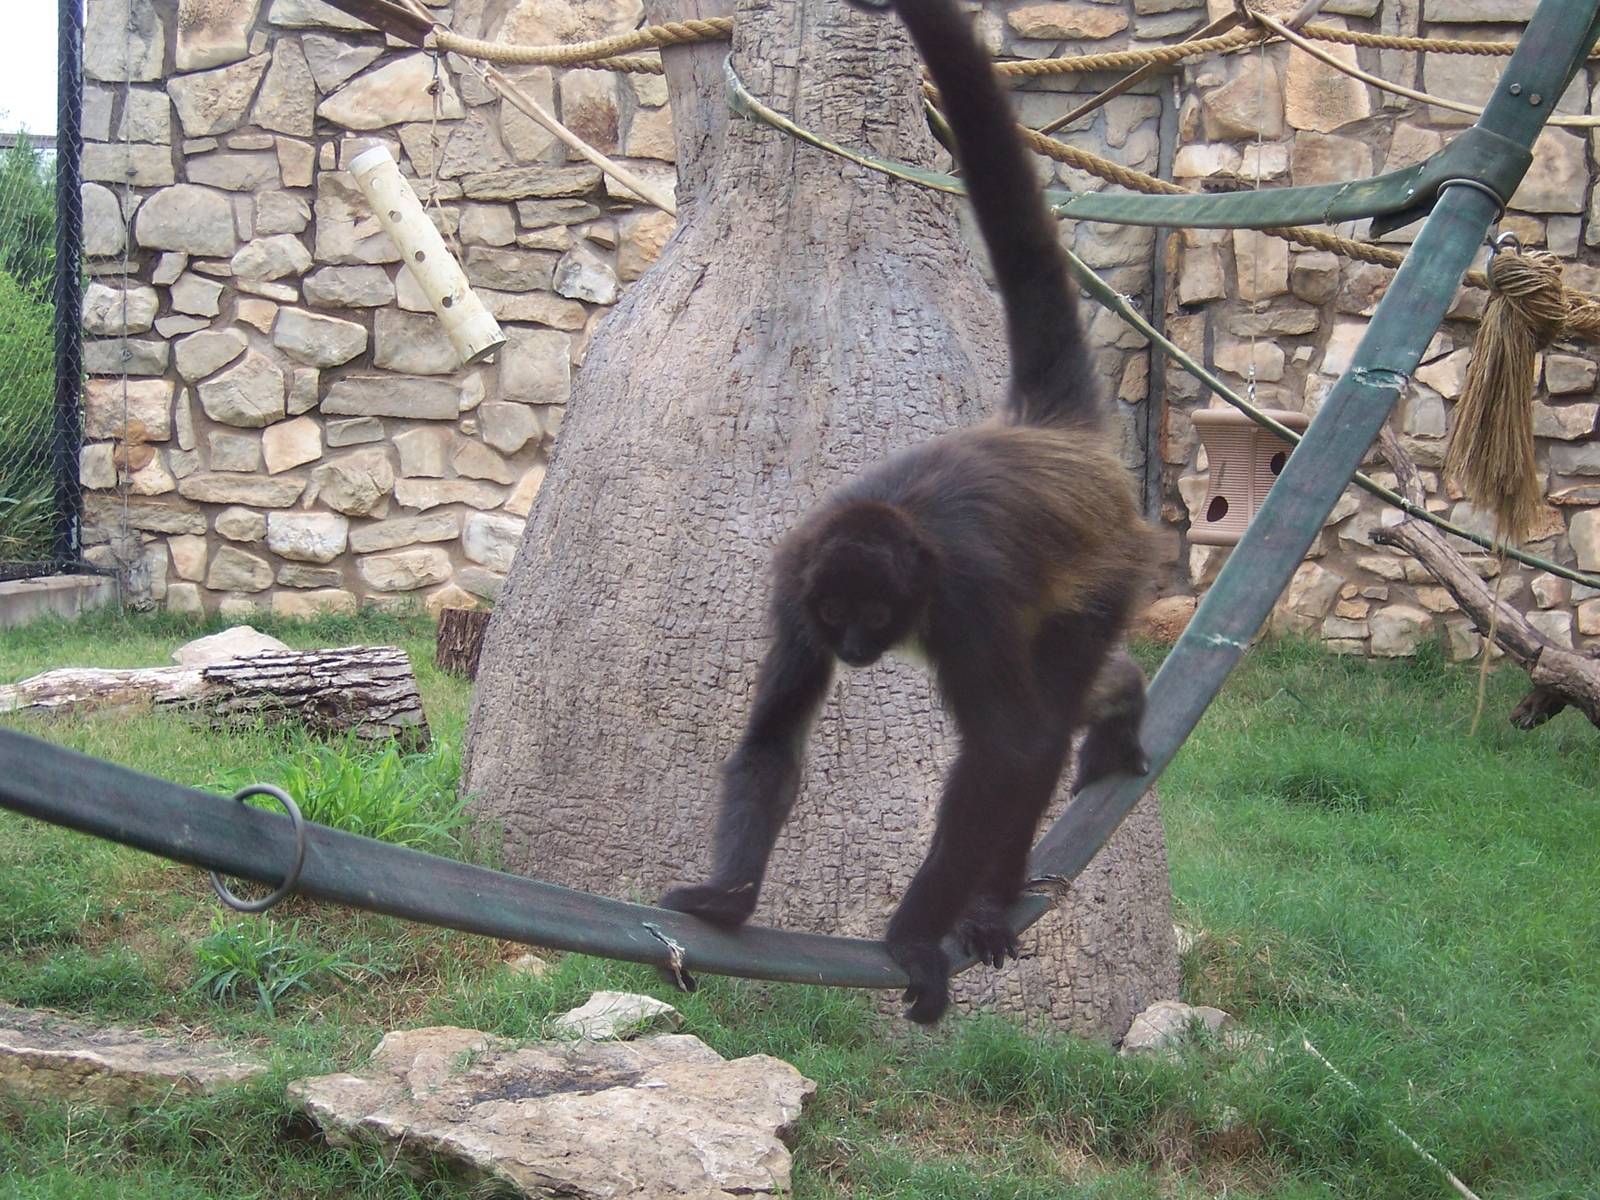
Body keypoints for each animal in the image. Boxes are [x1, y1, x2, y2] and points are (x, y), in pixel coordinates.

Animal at [660, 0, 1156, 1023]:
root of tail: (1049, 438)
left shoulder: (966, 600)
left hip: (1107, 570)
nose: (853, 648)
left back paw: (993, 897)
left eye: (876, 613)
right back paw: (1120, 701)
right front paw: (730, 898)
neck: (898, 523)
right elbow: (773, 742)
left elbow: (1006, 749)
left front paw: (909, 937)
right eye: (834, 615)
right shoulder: (793, 578)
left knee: (1043, 721)